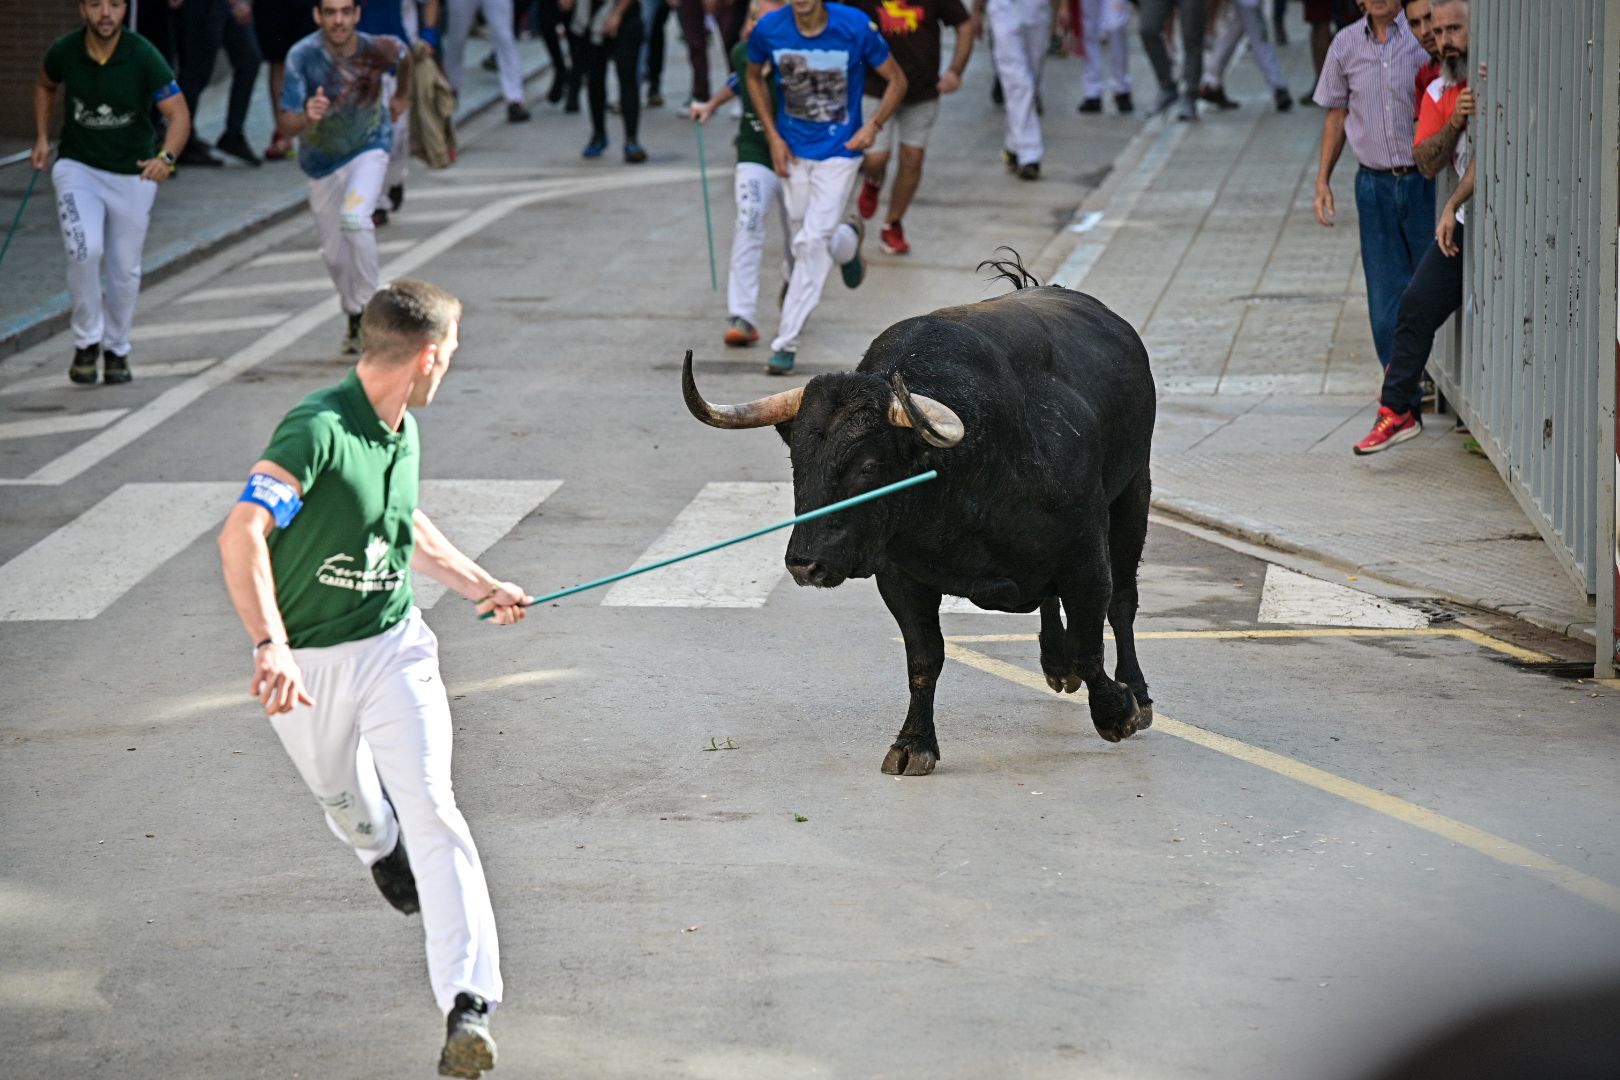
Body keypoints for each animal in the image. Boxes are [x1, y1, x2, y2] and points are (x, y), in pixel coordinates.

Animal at [683, 268, 1153, 777]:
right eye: (798, 462)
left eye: (868, 466)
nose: (804, 564)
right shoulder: (901, 578)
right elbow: (924, 659)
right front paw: (913, 743)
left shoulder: (1086, 556)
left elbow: (1091, 642)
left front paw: (1117, 711)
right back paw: (1055, 664)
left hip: (1134, 495)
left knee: (1123, 602)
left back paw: (1137, 692)